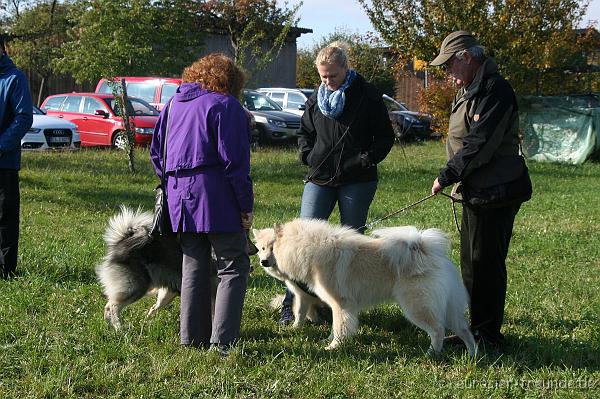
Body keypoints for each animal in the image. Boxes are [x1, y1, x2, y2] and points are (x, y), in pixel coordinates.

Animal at [251, 219, 476, 356]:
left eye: (272, 247)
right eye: (261, 248)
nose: (263, 262)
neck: (310, 248)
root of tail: (427, 252)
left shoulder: (341, 304)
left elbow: (340, 326)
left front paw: (333, 346)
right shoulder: (328, 303)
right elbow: (327, 323)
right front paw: (326, 339)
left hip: (417, 306)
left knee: (438, 330)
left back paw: (432, 353)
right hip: (449, 307)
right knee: (465, 330)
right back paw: (473, 354)